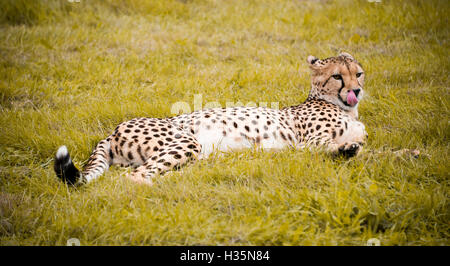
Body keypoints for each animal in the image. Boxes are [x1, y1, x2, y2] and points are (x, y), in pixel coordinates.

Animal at [54, 52, 368, 185]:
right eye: (337, 76)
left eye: (359, 73)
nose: (356, 90)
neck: (344, 108)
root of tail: (113, 130)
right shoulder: (308, 141)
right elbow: (351, 149)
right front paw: (348, 150)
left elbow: (364, 146)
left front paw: (351, 149)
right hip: (185, 142)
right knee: (136, 177)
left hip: (195, 154)